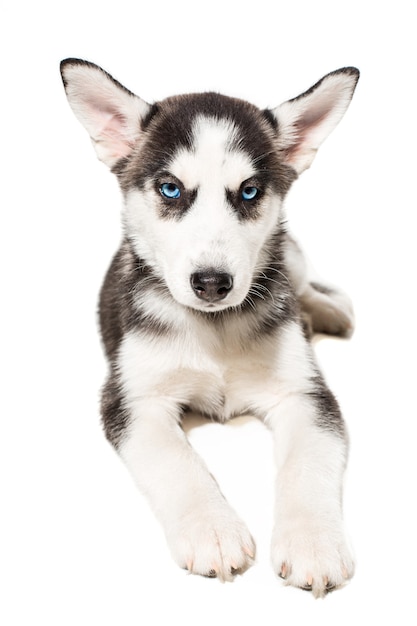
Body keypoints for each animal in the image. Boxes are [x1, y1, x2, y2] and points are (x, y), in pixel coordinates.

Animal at [61, 58, 358, 596]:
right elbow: (176, 462)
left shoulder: (306, 393)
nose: (213, 283)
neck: (214, 327)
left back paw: (325, 311)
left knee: (305, 283)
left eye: (249, 191)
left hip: (289, 259)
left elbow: (307, 463)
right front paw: (213, 531)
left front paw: (313, 543)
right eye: (170, 189)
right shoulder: (133, 399)